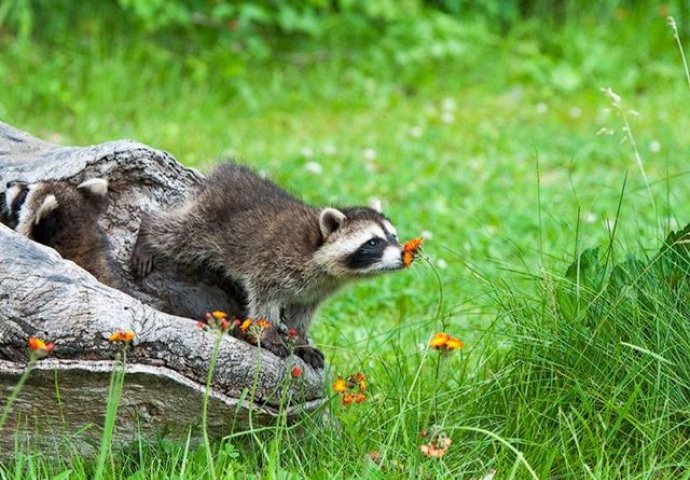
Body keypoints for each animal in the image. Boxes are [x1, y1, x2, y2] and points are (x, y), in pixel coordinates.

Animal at [132, 163, 404, 370]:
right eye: (373, 242)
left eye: (394, 236)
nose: (404, 255)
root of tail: (223, 174)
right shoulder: (271, 264)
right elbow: (264, 302)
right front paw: (270, 333)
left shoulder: (314, 291)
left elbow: (302, 315)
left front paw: (300, 341)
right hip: (205, 225)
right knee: (175, 235)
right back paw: (148, 231)